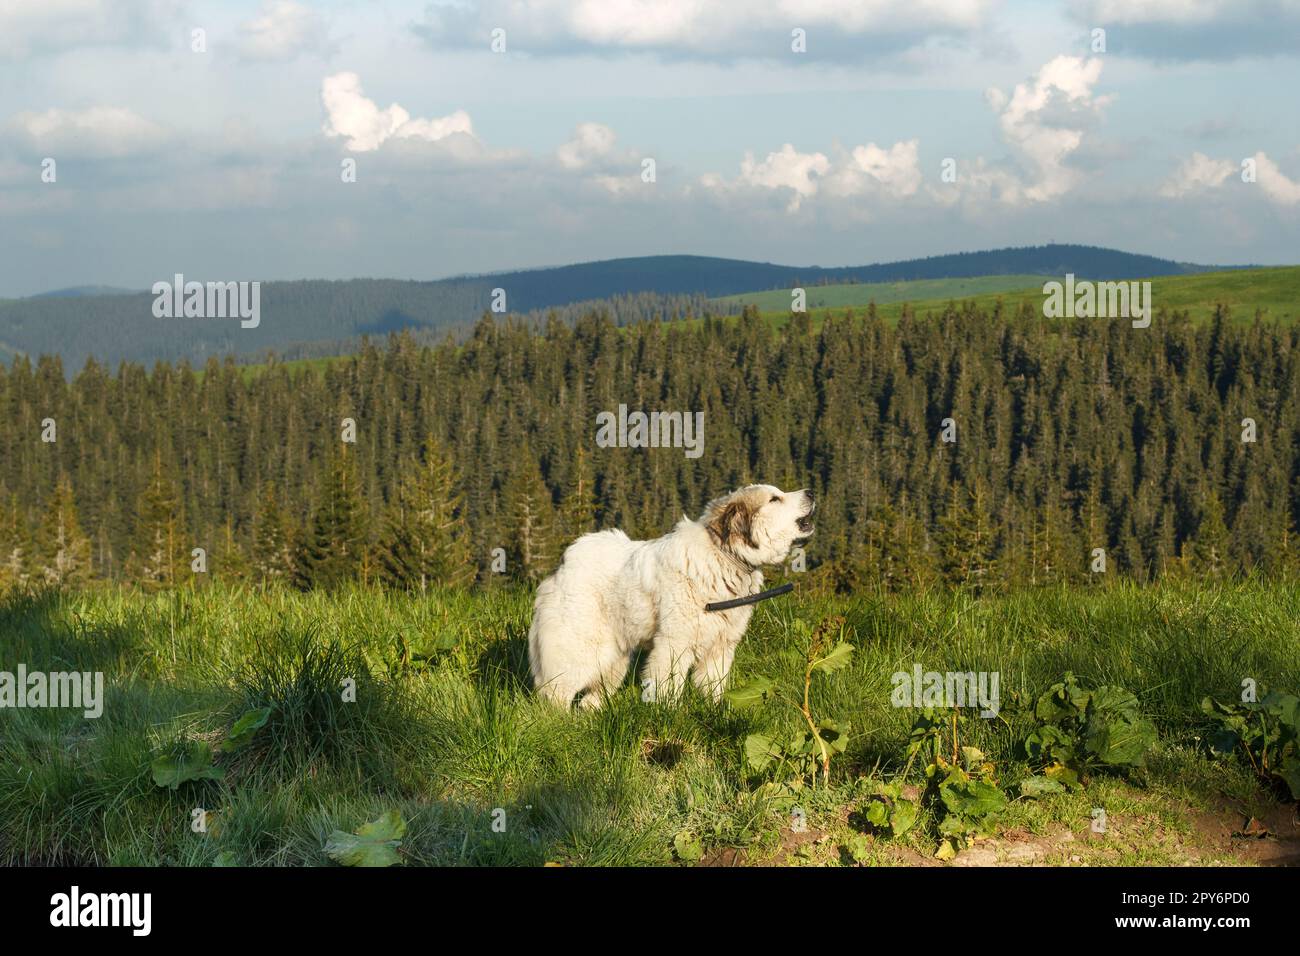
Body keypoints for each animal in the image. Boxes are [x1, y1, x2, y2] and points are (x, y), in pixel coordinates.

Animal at [525, 481, 811, 707]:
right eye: (775, 499)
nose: (811, 492)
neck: (722, 555)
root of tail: (563, 566)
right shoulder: (675, 642)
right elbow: (668, 685)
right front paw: (668, 711)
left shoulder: (720, 645)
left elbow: (713, 685)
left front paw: (714, 710)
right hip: (578, 648)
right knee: (556, 692)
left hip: (614, 658)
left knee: (590, 698)